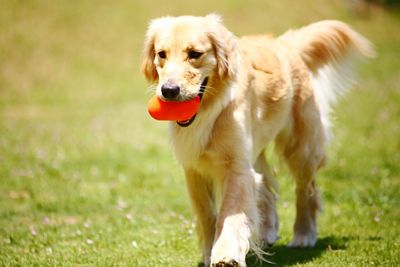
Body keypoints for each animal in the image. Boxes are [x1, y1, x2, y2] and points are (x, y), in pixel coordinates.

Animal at [141, 15, 376, 267]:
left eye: (195, 53)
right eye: (161, 54)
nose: (169, 90)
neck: (211, 111)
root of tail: (284, 43)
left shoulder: (236, 168)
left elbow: (230, 213)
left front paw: (226, 254)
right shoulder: (194, 169)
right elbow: (206, 215)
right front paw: (209, 252)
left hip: (300, 147)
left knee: (306, 190)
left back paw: (303, 234)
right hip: (257, 150)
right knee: (266, 186)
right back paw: (268, 233)